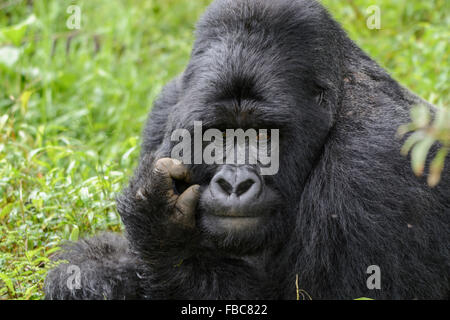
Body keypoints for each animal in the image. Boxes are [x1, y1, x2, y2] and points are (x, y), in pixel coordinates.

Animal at [45, 0, 450, 300]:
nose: (235, 183)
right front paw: (96, 270)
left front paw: (160, 230)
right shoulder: (167, 110)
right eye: (218, 135)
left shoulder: (375, 163)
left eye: (264, 135)